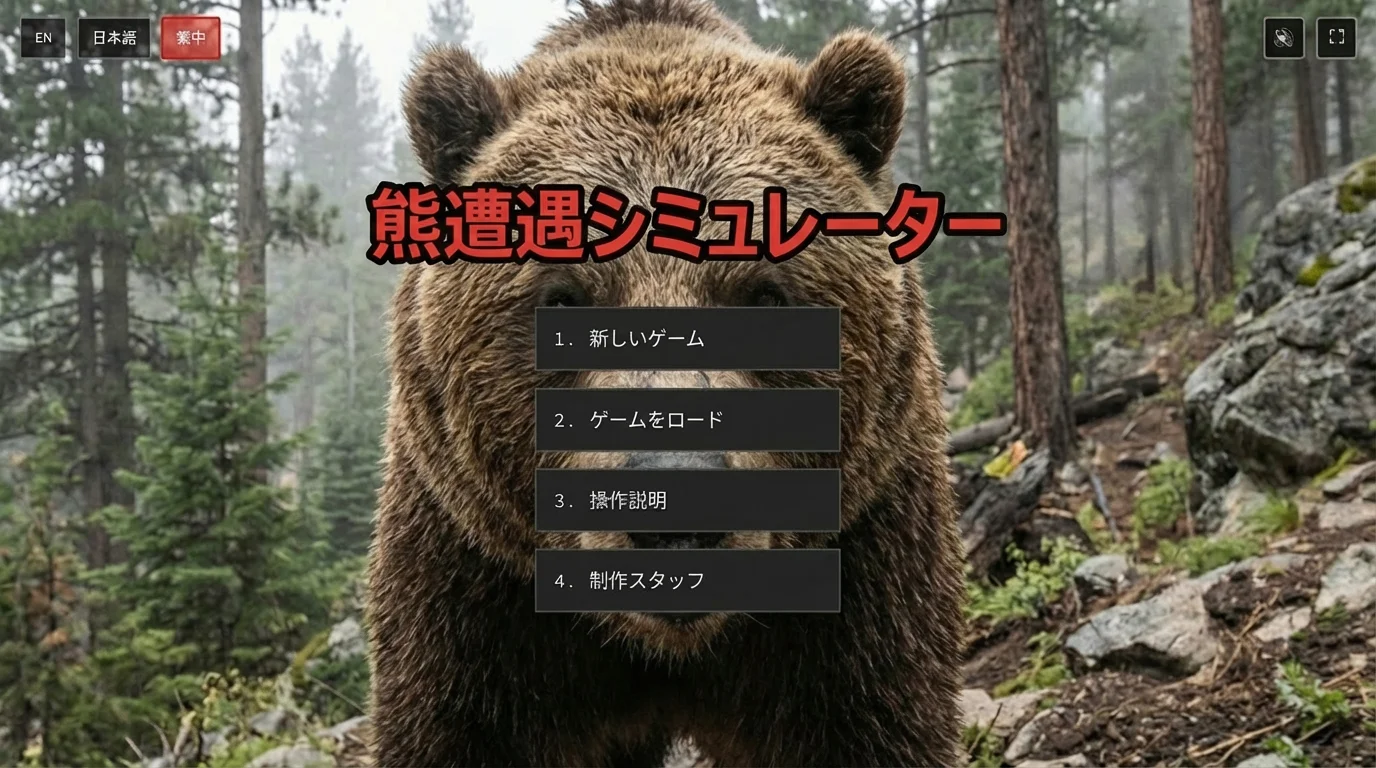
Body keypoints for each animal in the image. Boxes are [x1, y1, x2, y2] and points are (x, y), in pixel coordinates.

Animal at [364, 1, 968, 766]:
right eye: (564, 299)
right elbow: (453, 724)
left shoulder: (862, 563)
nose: (677, 509)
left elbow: (876, 718)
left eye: (764, 295)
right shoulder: (473, 585)